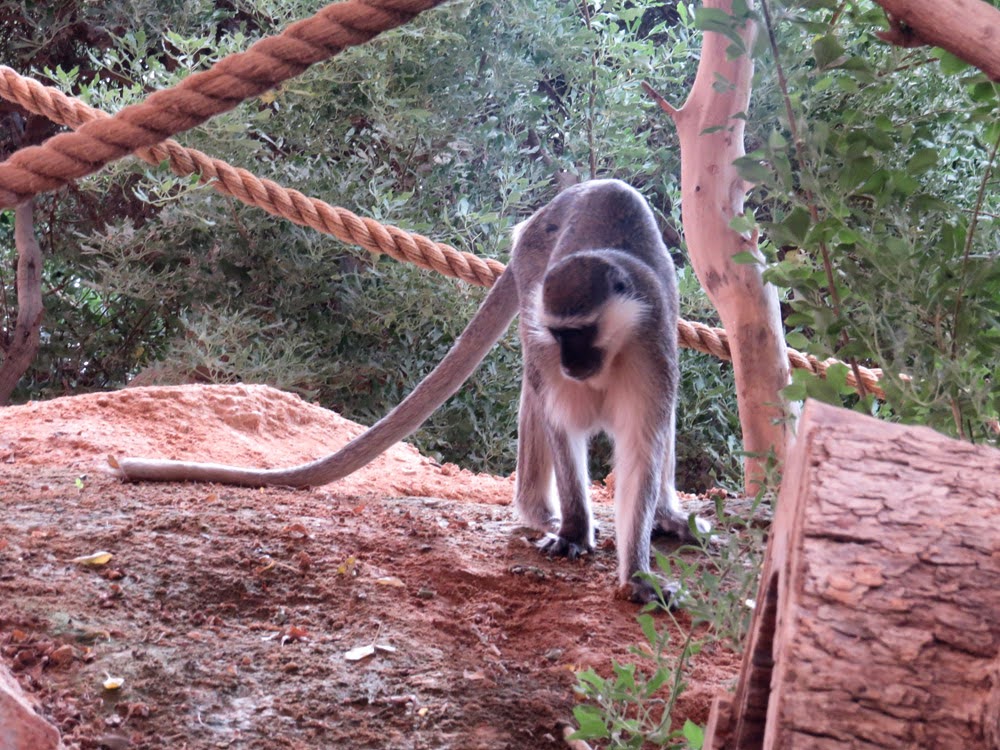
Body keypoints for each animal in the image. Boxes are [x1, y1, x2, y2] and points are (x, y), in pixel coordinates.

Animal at [117, 182, 708, 604]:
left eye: (582, 333)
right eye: (563, 334)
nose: (569, 360)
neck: (608, 355)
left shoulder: (652, 346)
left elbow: (643, 449)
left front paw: (637, 572)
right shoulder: (546, 337)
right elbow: (562, 425)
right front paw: (577, 532)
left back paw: (666, 516)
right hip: (531, 277)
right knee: (537, 394)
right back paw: (542, 514)